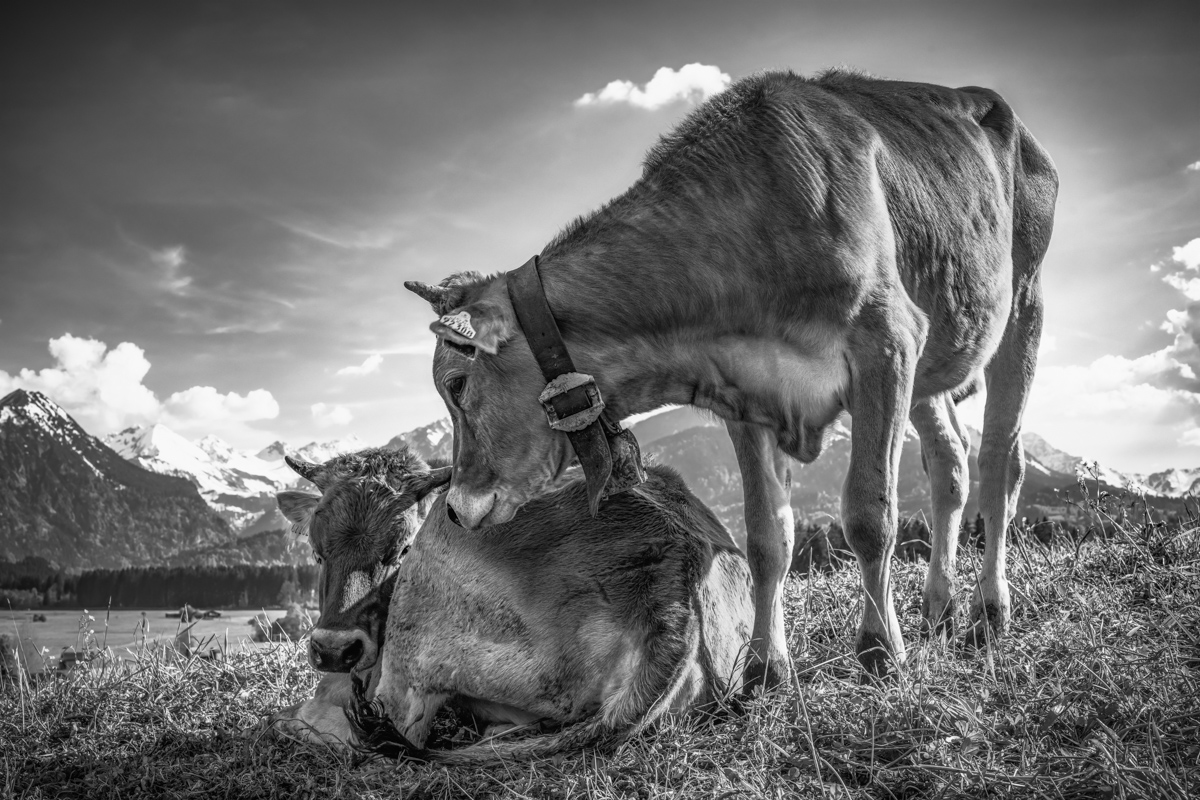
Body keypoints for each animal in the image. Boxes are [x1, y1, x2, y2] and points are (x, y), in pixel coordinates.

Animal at [265, 448, 754, 762]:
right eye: (317, 552)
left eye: (401, 549)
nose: (333, 650)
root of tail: (676, 563)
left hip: (414, 658)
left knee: (385, 732)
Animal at [404, 69, 1058, 683]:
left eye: (456, 385)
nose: (457, 508)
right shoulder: (748, 390)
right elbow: (767, 538)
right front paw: (766, 669)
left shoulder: (888, 341)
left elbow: (870, 517)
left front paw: (879, 653)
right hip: (935, 356)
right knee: (949, 464)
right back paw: (937, 609)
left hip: (1023, 300)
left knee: (1000, 462)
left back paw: (987, 613)